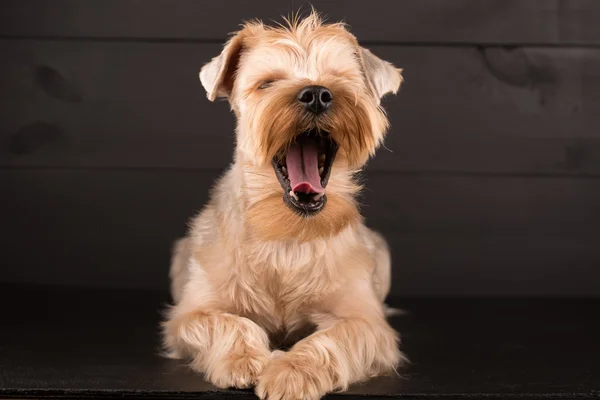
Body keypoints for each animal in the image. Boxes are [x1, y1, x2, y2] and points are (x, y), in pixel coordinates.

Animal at [162, 10, 406, 398]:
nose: (317, 93)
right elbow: (228, 322)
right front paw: (244, 360)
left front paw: (292, 372)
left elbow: (330, 340)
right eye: (267, 83)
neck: (288, 235)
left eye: (340, 80)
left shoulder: (365, 323)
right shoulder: (191, 314)